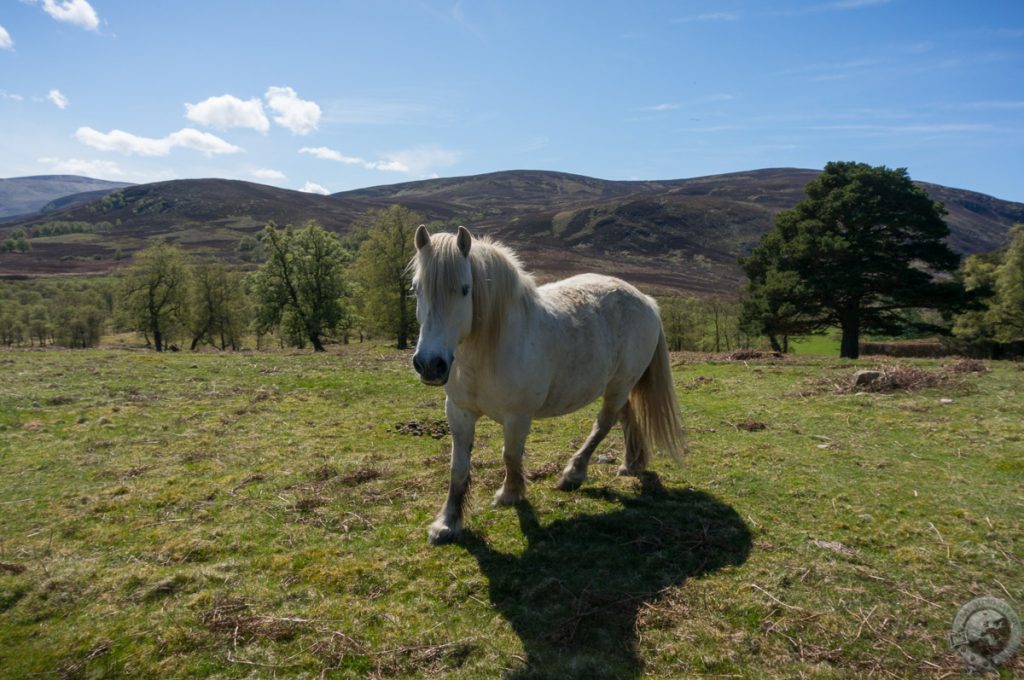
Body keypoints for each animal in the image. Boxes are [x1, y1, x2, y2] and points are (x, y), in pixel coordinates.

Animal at [411, 225, 684, 544]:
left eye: (465, 289)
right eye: (416, 288)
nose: (430, 364)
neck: (489, 347)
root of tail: (646, 300)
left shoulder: (517, 416)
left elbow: (510, 455)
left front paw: (510, 494)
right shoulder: (459, 412)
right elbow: (458, 468)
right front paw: (447, 523)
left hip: (620, 384)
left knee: (604, 423)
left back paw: (573, 474)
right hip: (620, 385)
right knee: (626, 416)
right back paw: (630, 464)